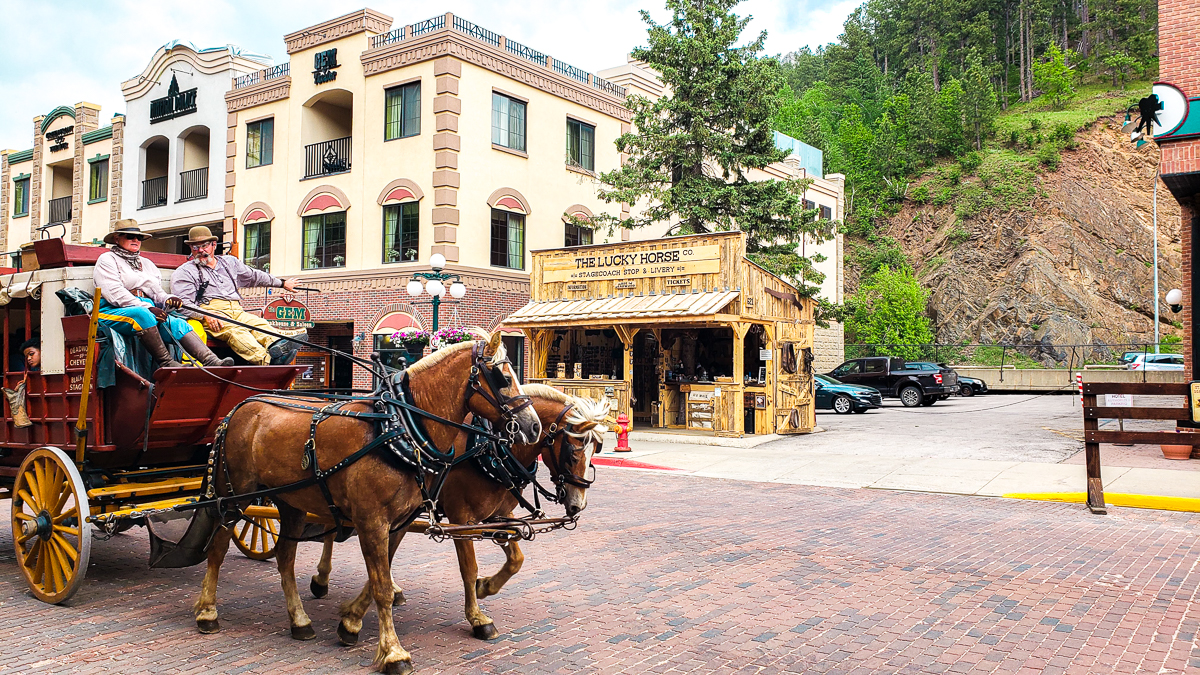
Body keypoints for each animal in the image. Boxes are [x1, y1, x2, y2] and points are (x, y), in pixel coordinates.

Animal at [192, 333, 540, 667]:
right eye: (502, 377)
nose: (533, 425)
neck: (400, 429)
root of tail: (240, 408)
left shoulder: (399, 521)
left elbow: (380, 578)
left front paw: (351, 624)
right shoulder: (373, 521)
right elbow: (383, 587)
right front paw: (393, 653)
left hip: (292, 503)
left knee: (285, 559)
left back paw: (300, 621)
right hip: (234, 496)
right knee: (218, 548)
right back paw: (208, 612)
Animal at [312, 381, 609, 638]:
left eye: (596, 449)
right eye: (572, 451)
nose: (578, 504)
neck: (492, 449)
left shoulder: (498, 515)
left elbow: (516, 559)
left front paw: (487, 587)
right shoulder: (460, 517)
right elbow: (469, 567)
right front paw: (478, 618)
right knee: (331, 531)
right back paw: (322, 578)